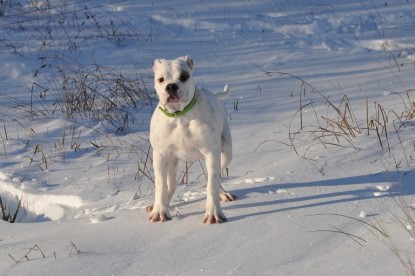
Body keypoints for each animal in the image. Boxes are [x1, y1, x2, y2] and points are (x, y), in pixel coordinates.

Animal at [148, 55, 236, 223]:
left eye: (184, 76)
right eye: (161, 79)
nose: (171, 87)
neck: (179, 116)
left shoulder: (211, 152)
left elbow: (212, 185)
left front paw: (213, 213)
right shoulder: (160, 155)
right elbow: (161, 186)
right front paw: (159, 211)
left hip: (225, 153)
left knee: (215, 177)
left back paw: (223, 194)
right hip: (171, 161)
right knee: (171, 184)